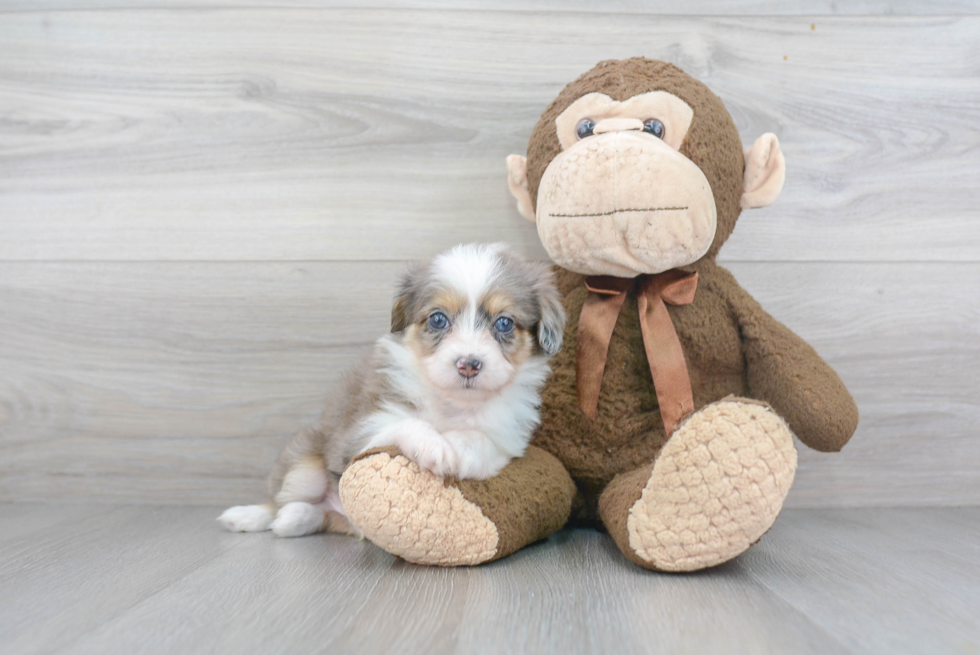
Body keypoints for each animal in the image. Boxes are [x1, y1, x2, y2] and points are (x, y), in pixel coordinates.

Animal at [217, 243, 564, 540]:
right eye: (438, 319)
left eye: (504, 323)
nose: (468, 364)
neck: (452, 403)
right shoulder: (359, 433)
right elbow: (407, 423)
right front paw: (434, 447)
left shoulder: (509, 439)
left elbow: (480, 439)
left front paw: (458, 449)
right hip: (307, 467)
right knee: (280, 500)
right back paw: (251, 516)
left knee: (322, 517)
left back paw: (297, 518)